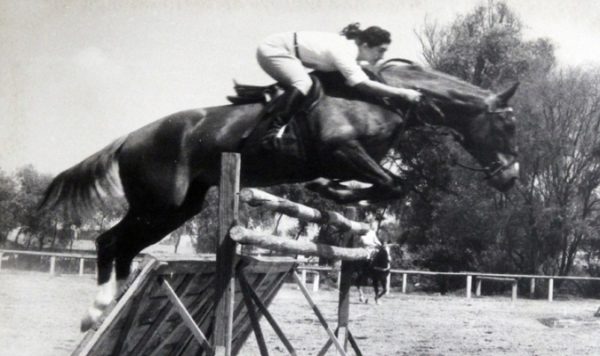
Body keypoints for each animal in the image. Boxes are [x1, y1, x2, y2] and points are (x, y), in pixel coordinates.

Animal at [41, 59, 520, 330]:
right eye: (508, 124)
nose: (512, 178)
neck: (384, 97)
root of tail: (129, 138)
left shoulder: (353, 159)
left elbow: (386, 186)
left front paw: (344, 204)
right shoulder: (343, 151)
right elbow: (390, 184)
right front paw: (331, 192)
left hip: (177, 209)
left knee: (123, 246)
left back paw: (111, 305)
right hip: (160, 204)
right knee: (109, 241)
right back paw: (97, 309)